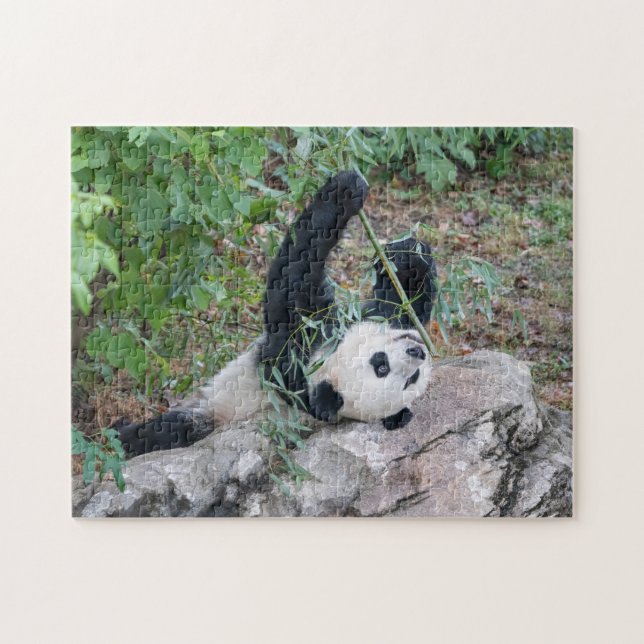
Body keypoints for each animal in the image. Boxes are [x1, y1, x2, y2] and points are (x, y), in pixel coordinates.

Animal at [117, 171, 437, 458]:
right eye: (380, 364)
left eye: (410, 379)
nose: (418, 352)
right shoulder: (326, 330)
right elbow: (399, 304)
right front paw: (405, 254)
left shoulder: (293, 360)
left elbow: (290, 282)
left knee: (167, 432)